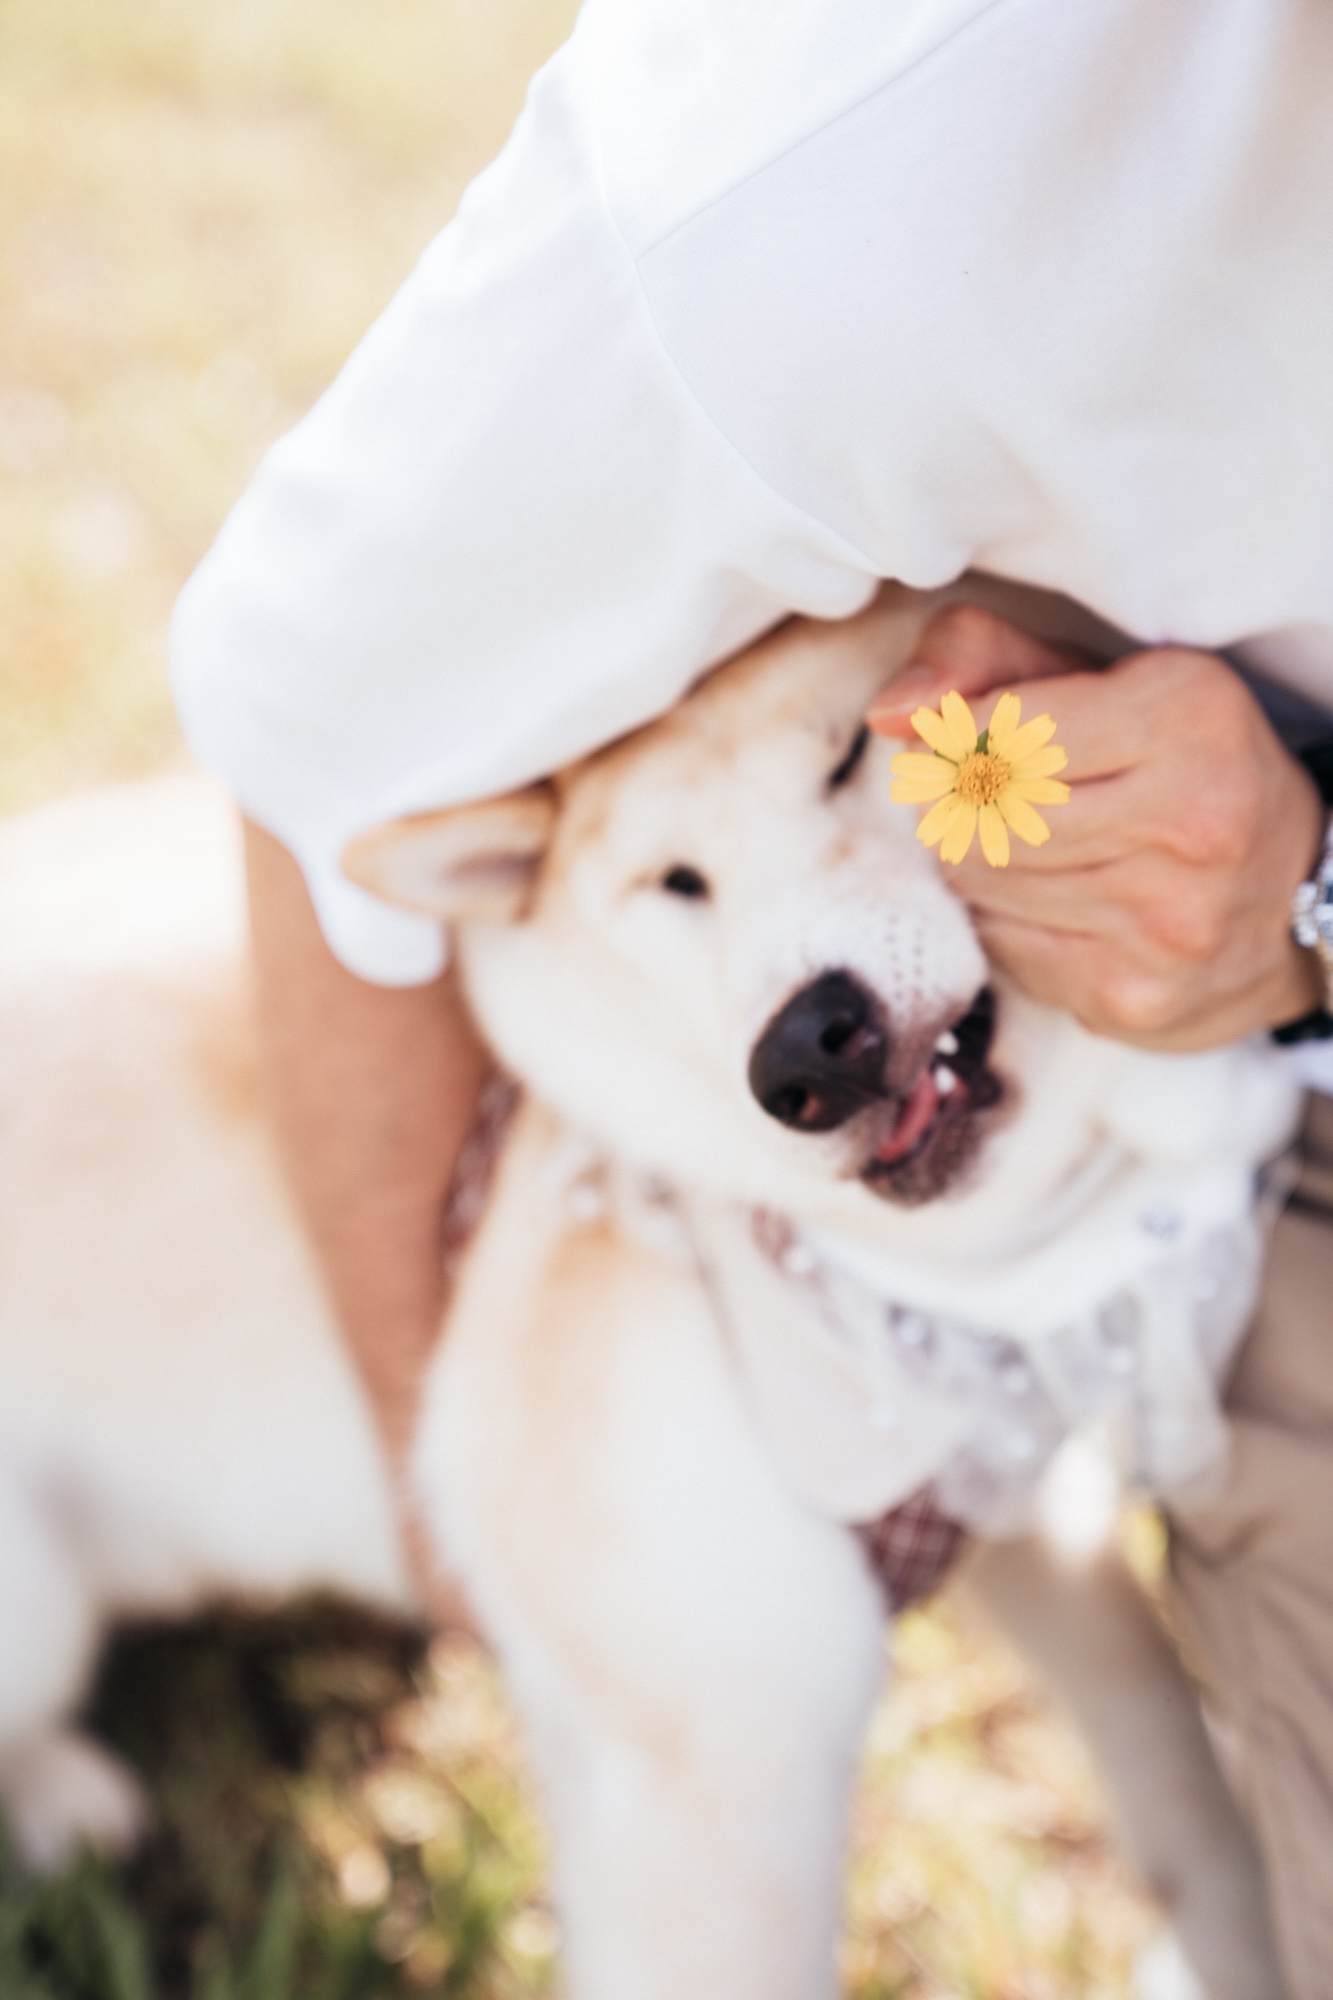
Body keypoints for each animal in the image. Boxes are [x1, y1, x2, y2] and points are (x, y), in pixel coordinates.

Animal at [0, 584, 1296, 1992]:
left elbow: (1176, 1776)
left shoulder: (1012, 1502)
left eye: (852, 753)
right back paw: (64, 1800)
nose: (804, 1052)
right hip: (35, 1612)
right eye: (677, 884)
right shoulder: (715, 1782)